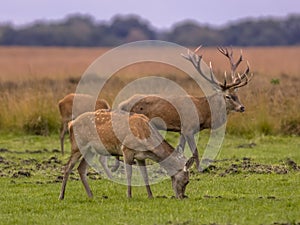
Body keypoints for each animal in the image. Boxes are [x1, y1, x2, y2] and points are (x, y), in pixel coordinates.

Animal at [58, 110, 195, 200]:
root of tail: (71, 124)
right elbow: (129, 174)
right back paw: (61, 196)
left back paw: (91, 196)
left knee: (81, 168)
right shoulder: (126, 149)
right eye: (187, 180)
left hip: (90, 151)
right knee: (68, 167)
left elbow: (145, 176)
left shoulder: (141, 156)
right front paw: (129, 196)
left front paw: (150, 196)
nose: (182, 197)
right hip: (78, 146)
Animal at [118, 47, 252, 171]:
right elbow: (195, 151)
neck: (203, 111)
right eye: (227, 96)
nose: (242, 107)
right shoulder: (188, 128)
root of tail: (121, 104)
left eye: (237, 94)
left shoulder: (182, 130)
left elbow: (180, 149)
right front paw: (199, 169)